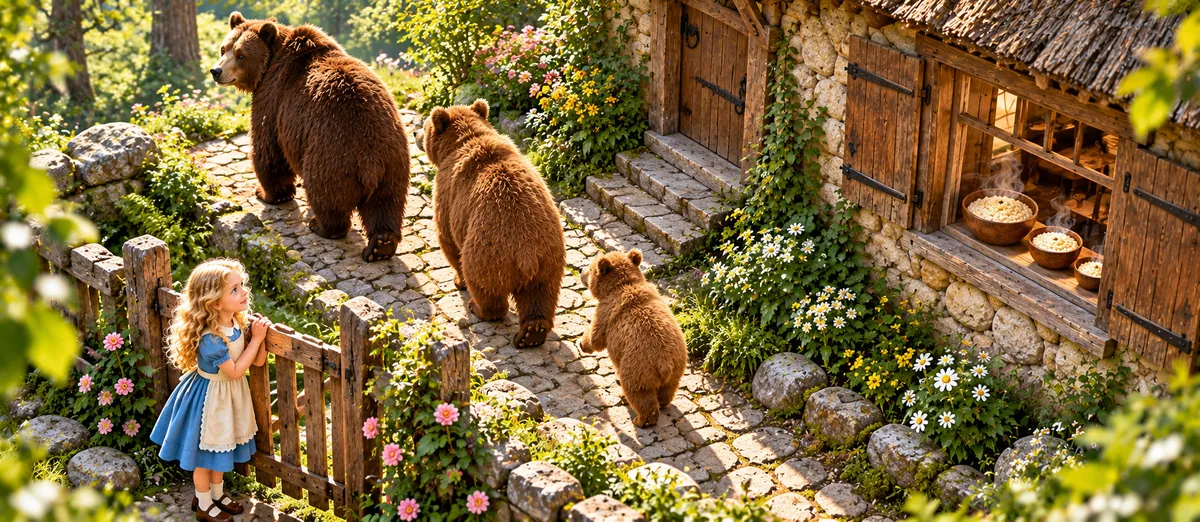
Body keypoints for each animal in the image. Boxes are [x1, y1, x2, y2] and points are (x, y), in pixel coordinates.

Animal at [211, 12, 410, 262]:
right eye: (223, 48)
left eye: (240, 55)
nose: (216, 71)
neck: (272, 62)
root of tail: (370, 160)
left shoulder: (274, 98)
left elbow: (268, 148)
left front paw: (266, 193)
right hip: (393, 160)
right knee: (386, 202)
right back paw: (381, 245)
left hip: (332, 153)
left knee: (326, 192)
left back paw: (320, 225)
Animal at [420, 99, 566, 348]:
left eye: (425, 125)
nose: (415, 134)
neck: (462, 142)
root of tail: (526, 253)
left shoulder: (448, 193)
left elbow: (446, 236)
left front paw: (457, 280)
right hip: (549, 254)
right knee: (541, 293)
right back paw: (532, 332)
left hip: (488, 251)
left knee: (484, 285)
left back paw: (477, 306)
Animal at [581, 249, 687, 428]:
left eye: (590, 268)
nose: (580, 269)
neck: (623, 284)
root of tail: (665, 363)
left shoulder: (606, 313)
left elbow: (596, 337)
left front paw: (583, 343)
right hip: (678, 363)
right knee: (668, 389)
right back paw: (663, 403)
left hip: (637, 364)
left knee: (638, 391)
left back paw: (640, 419)